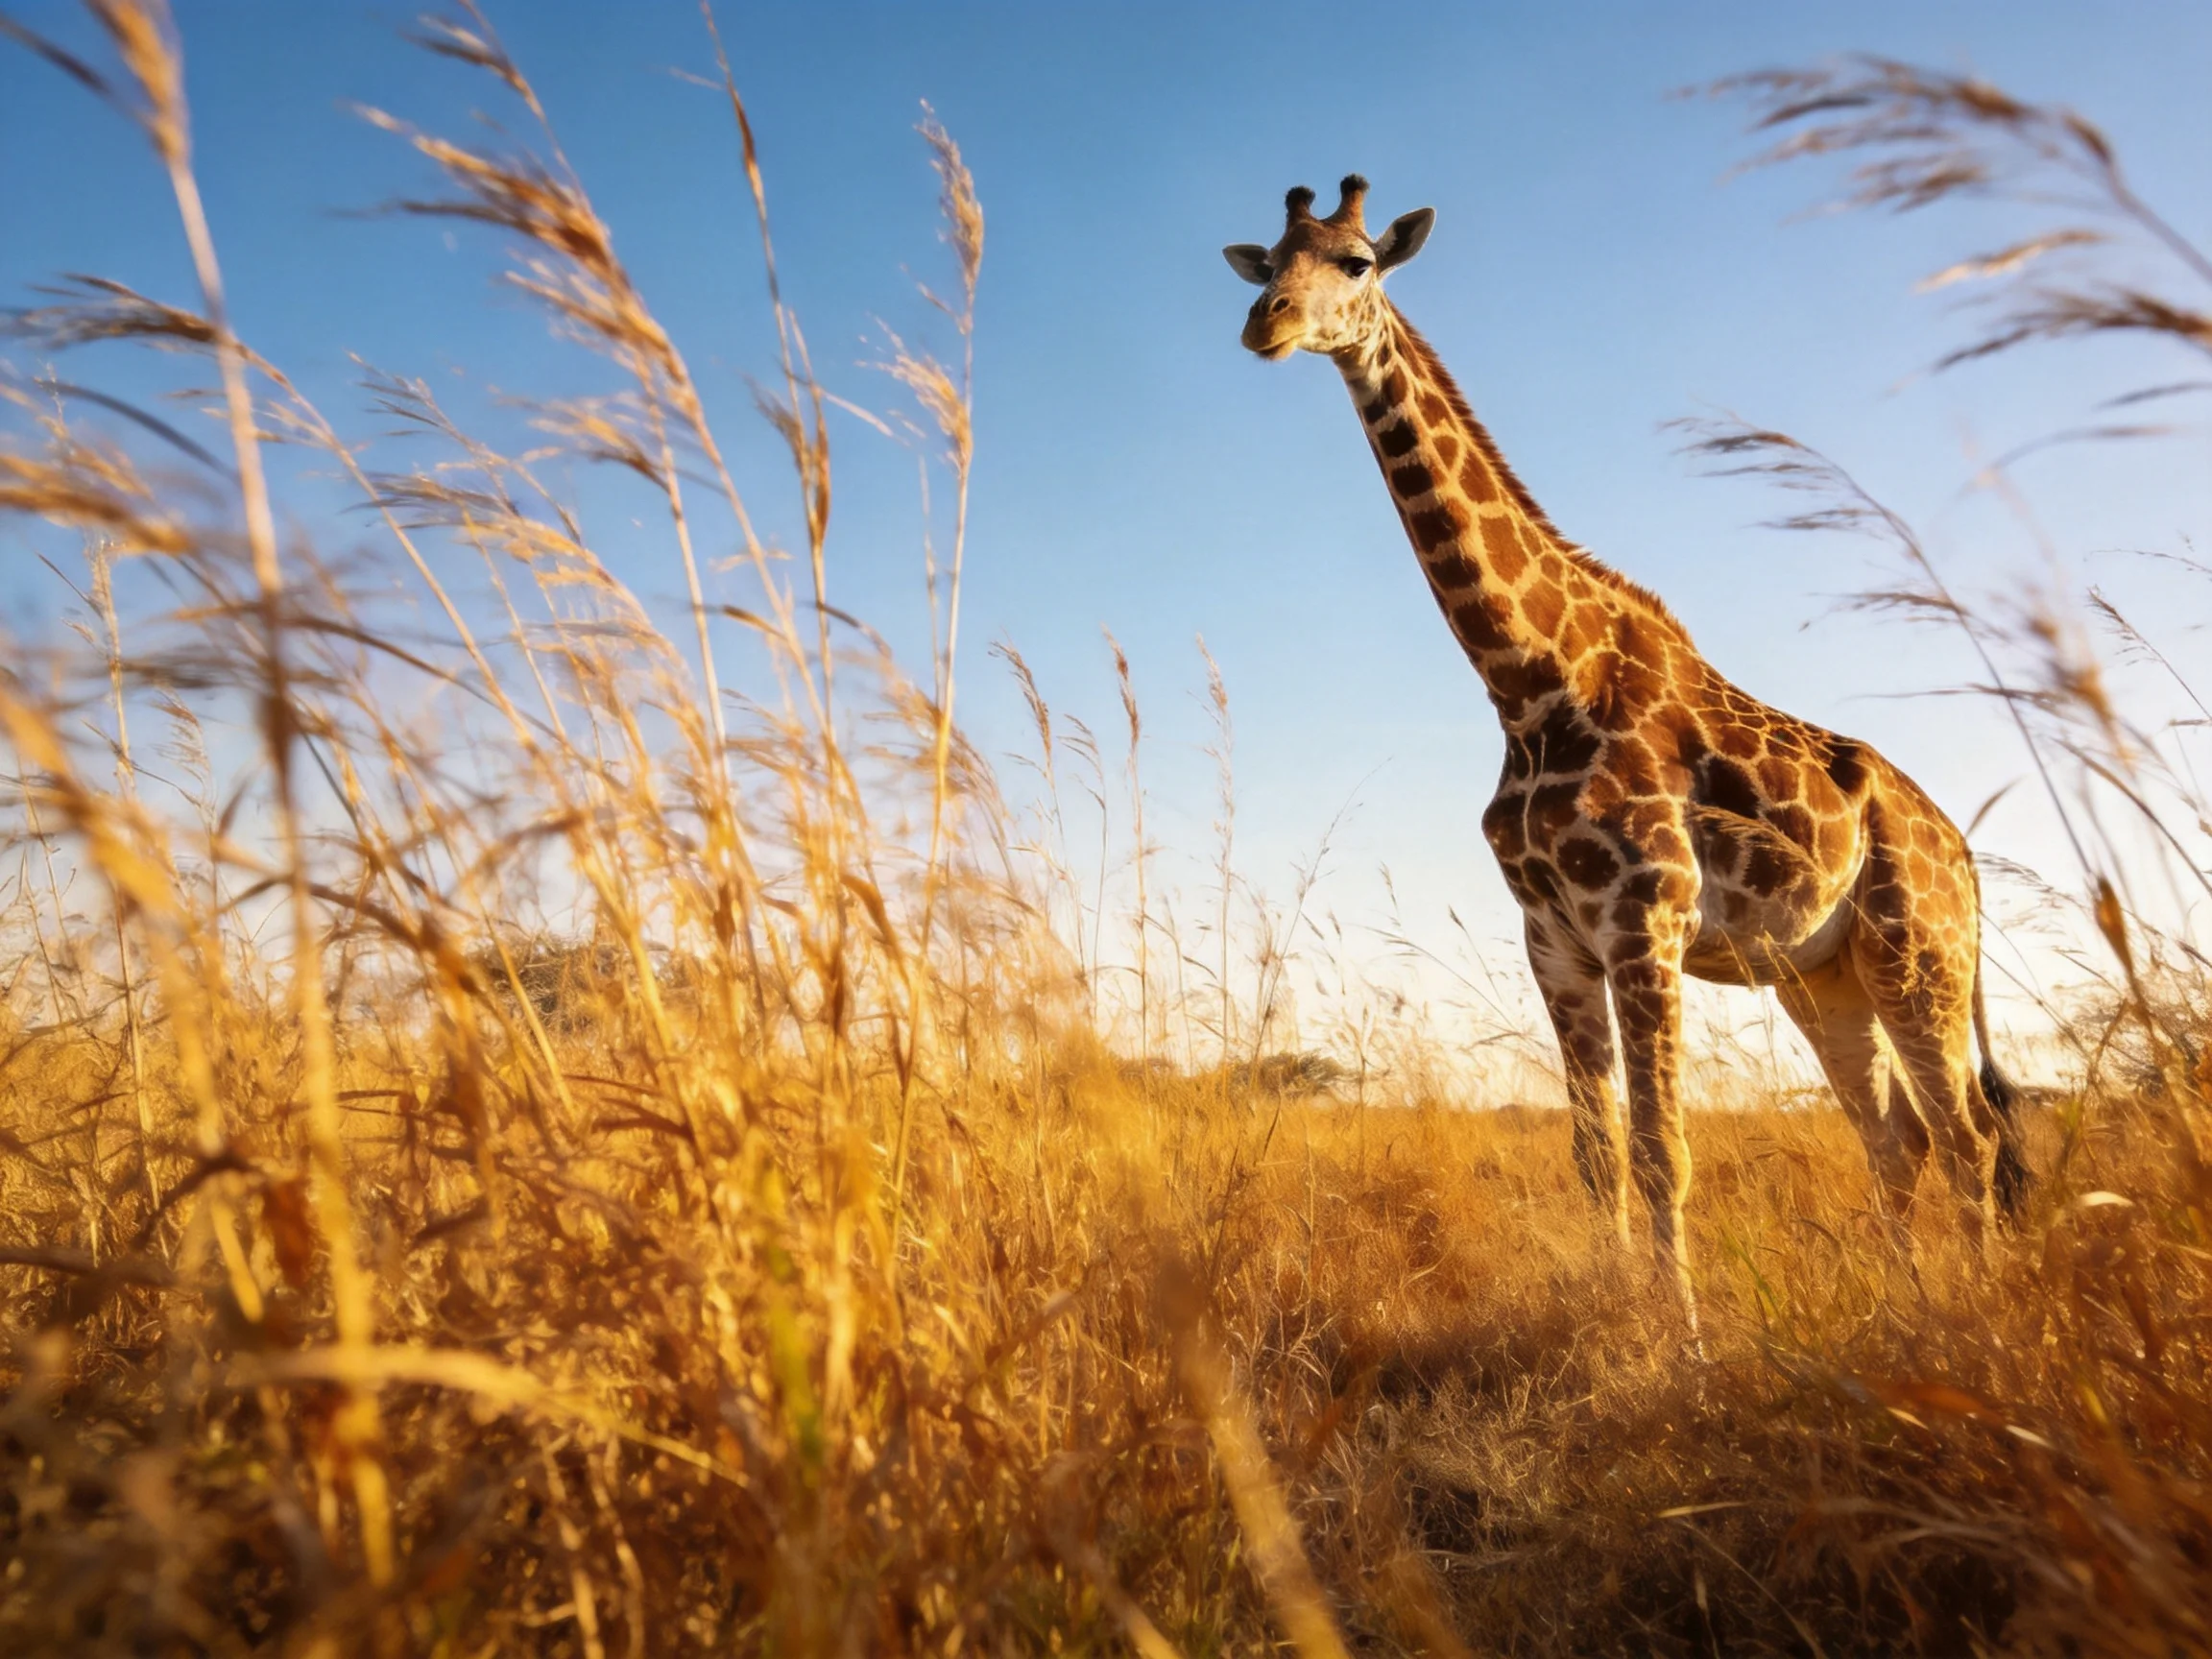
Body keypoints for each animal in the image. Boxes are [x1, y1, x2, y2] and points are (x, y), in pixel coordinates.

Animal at [1225, 176, 2027, 1326]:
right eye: (1267, 261)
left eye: (1357, 263)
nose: (1268, 322)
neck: (1528, 682)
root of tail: (1963, 855)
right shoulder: (1554, 937)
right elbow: (1596, 1156)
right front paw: (1625, 1320)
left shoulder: (1644, 923)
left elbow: (1663, 1153)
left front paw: (1683, 1341)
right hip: (1821, 976)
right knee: (1901, 1140)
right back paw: (1912, 1309)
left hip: (1918, 956)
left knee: (1968, 1140)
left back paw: (1981, 1315)